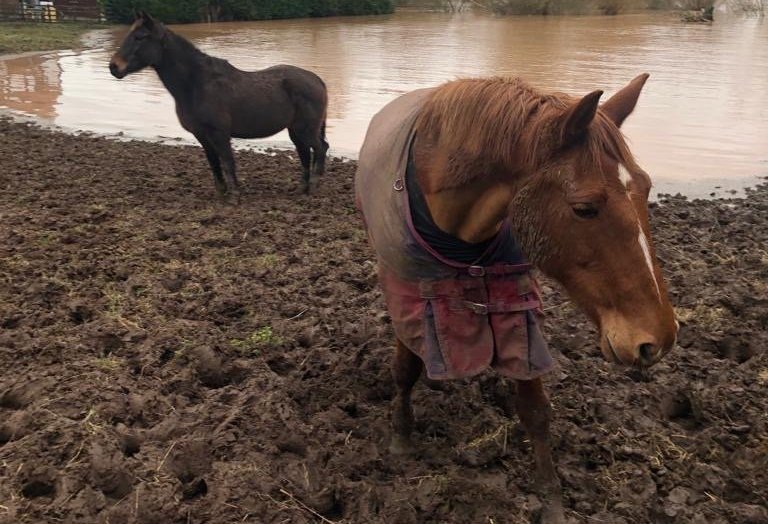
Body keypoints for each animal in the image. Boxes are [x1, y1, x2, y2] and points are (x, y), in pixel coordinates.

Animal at [109, 12, 328, 201]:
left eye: (140, 37)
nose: (114, 66)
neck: (197, 84)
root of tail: (317, 80)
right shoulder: (202, 135)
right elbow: (214, 163)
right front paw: (222, 193)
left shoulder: (219, 133)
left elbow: (228, 162)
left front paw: (234, 197)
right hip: (295, 130)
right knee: (305, 153)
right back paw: (301, 188)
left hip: (305, 129)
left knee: (320, 148)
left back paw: (314, 186)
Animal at [356, 74, 680, 524]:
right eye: (585, 208)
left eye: (647, 188)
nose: (658, 339)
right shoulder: (409, 294)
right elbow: (405, 370)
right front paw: (401, 436)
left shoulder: (515, 307)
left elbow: (535, 408)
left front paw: (551, 498)